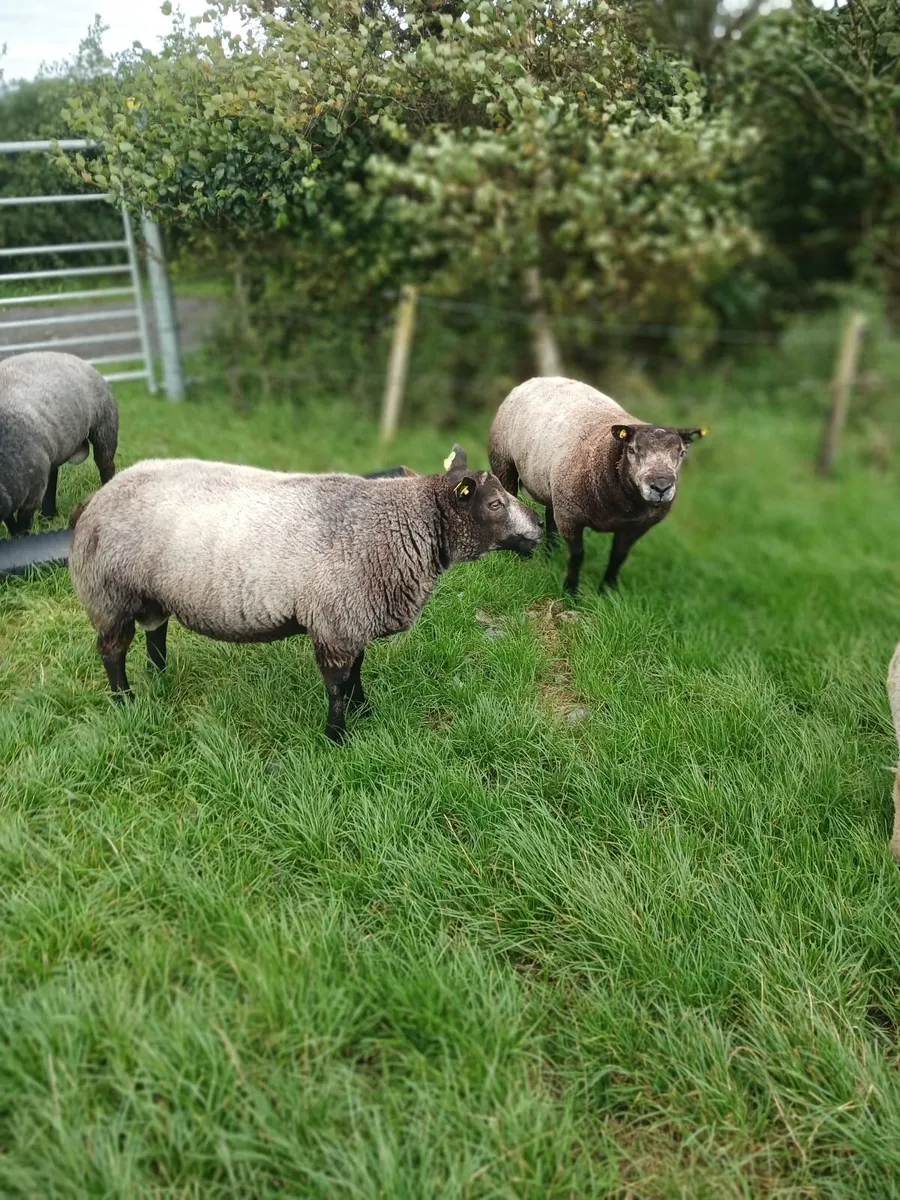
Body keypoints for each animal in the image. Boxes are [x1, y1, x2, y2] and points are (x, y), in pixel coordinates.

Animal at [0, 351, 118, 537]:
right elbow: (10, 519)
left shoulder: (32, 491)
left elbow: (24, 520)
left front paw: (22, 536)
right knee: (53, 475)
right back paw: (48, 516)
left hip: (105, 427)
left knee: (106, 465)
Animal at [67, 445, 542, 742]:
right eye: (495, 504)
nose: (539, 525)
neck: (400, 524)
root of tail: (97, 497)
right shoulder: (335, 621)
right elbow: (336, 685)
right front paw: (337, 737)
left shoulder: (353, 617)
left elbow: (357, 673)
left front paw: (365, 712)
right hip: (109, 592)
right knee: (112, 650)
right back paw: (124, 701)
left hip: (148, 592)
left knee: (156, 630)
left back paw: (160, 674)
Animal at [488, 376, 707, 596]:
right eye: (632, 450)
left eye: (681, 453)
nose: (661, 487)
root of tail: (540, 378)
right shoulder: (570, 516)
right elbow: (577, 555)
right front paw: (571, 593)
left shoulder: (635, 528)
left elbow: (618, 557)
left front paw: (607, 592)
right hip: (504, 462)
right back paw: (521, 557)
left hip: (552, 487)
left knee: (550, 521)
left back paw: (550, 557)